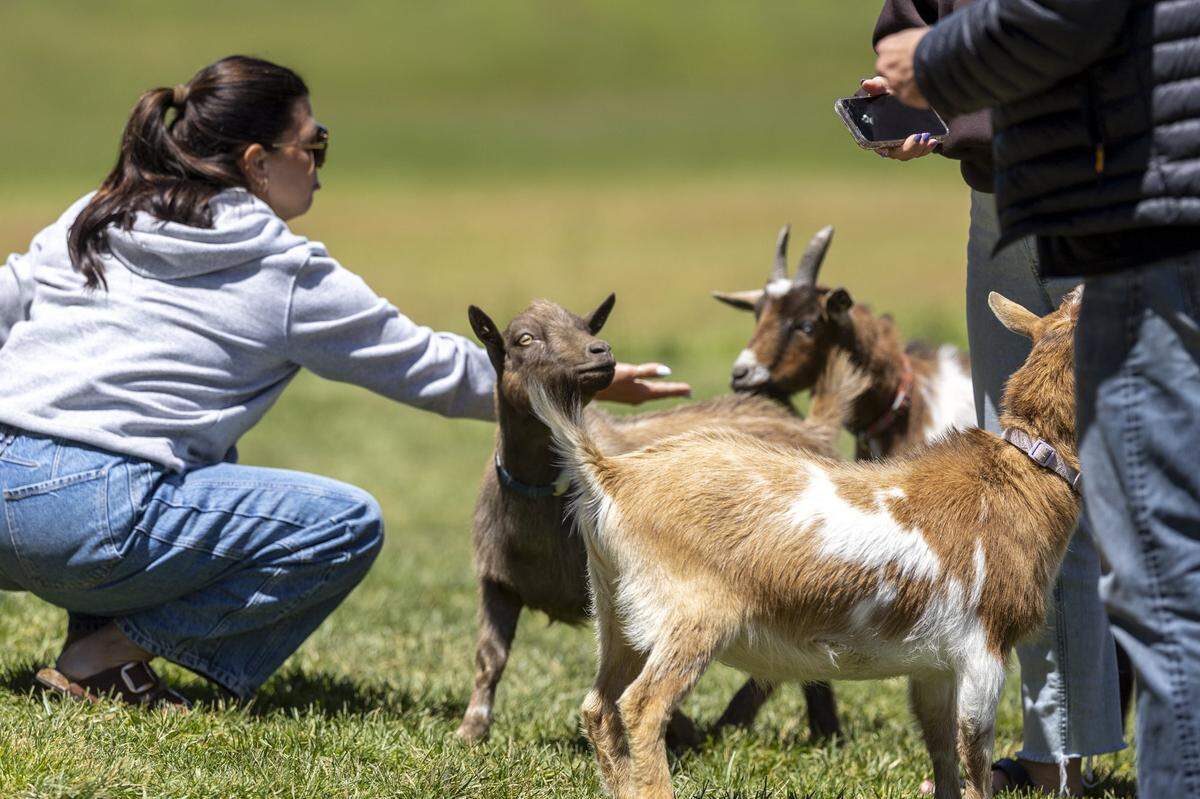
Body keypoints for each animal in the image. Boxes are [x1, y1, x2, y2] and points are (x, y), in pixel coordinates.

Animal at [455, 295, 856, 744]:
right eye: (524, 338)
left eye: (586, 327)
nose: (600, 351)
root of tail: (812, 430)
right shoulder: (498, 581)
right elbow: (489, 658)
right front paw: (470, 731)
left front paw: (682, 731)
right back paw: (824, 732)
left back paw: (740, 723)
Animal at [528, 289, 1083, 799]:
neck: (1022, 474)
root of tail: (612, 474)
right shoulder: (984, 646)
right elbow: (973, 754)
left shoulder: (935, 663)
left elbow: (942, 749)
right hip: (691, 613)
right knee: (641, 707)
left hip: (615, 611)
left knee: (599, 707)